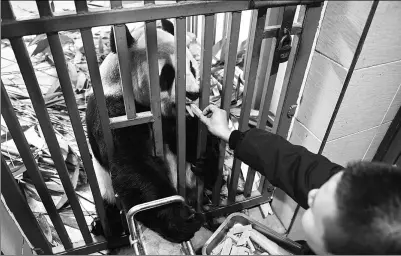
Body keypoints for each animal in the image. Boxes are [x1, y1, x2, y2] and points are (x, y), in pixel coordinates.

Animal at [85, 18, 220, 244]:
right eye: (167, 74)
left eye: (192, 67)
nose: (193, 94)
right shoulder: (114, 112)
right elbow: (132, 163)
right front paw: (182, 220)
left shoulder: (179, 118)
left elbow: (190, 136)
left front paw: (206, 160)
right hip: (105, 188)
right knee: (108, 205)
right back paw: (103, 227)